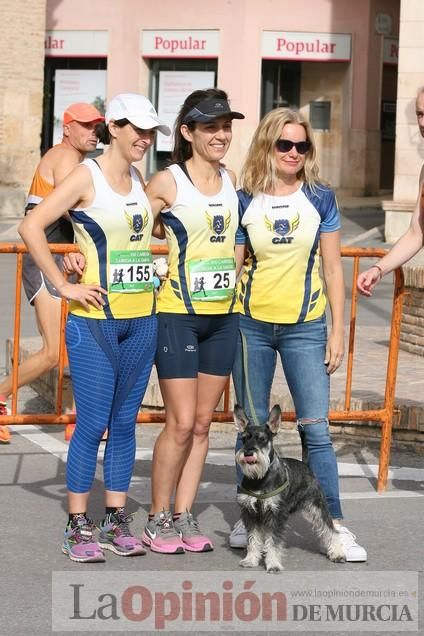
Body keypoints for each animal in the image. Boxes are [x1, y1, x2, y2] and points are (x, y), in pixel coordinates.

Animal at [234, 404, 346, 572]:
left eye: (262, 439)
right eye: (244, 438)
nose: (248, 453)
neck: (259, 479)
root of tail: (306, 465)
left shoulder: (276, 514)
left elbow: (273, 542)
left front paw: (273, 564)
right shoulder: (251, 514)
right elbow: (253, 539)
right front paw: (250, 560)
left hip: (317, 506)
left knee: (330, 529)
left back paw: (337, 553)